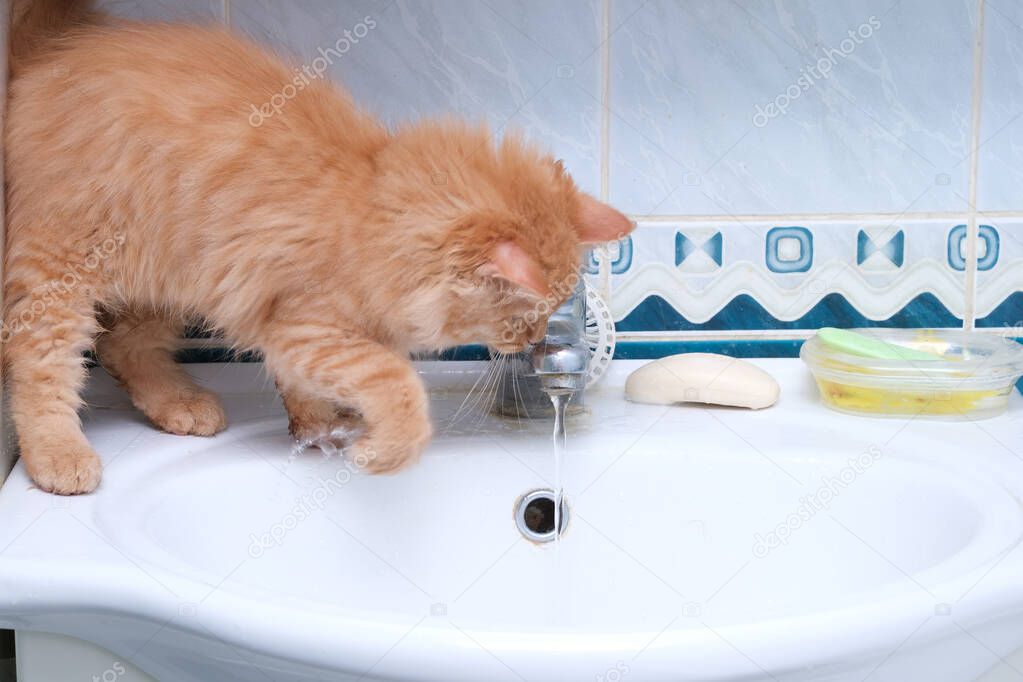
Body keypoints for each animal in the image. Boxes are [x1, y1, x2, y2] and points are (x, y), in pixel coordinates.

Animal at [6, 0, 630, 490]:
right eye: (524, 317)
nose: (531, 343)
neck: (370, 203)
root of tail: (47, 56)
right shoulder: (305, 326)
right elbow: (397, 384)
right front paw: (381, 448)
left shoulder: (282, 322)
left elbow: (314, 387)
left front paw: (320, 428)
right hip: (60, 274)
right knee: (41, 369)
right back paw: (60, 456)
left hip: (172, 280)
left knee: (122, 346)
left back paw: (181, 405)